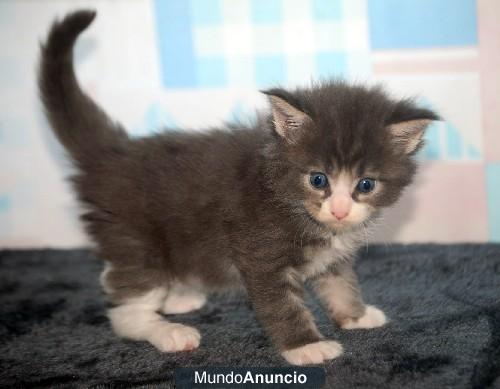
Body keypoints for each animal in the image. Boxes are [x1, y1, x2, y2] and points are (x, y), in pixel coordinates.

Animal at [38, 10, 438, 366]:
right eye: (318, 180)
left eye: (365, 184)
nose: (339, 209)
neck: (288, 198)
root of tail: (114, 154)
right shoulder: (260, 256)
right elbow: (283, 306)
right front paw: (306, 347)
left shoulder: (333, 258)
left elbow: (341, 285)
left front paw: (356, 315)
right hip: (136, 237)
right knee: (124, 306)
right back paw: (167, 331)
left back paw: (177, 297)